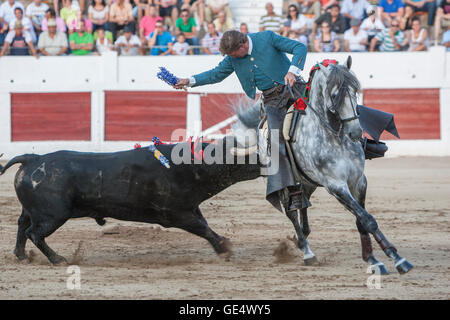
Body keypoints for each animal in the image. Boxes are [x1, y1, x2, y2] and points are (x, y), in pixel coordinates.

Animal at [0, 141, 260, 264]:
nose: (266, 161)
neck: (190, 166)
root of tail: (33, 158)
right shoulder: (175, 213)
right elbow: (203, 229)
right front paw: (225, 247)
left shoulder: (190, 208)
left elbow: (204, 224)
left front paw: (223, 246)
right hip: (53, 215)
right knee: (35, 233)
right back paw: (58, 259)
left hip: (33, 211)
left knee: (22, 225)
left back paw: (21, 255)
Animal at [234, 56, 414, 274]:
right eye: (335, 95)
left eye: (355, 91)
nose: (356, 133)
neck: (334, 135)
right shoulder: (335, 185)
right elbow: (367, 219)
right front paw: (396, 259)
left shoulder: (359, 181)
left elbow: (361, 219)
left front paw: (373, 259)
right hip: (284, 182)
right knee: (291, 212)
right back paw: (307, 252)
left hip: (308, 181)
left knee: (302, 204)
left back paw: (301, 238)